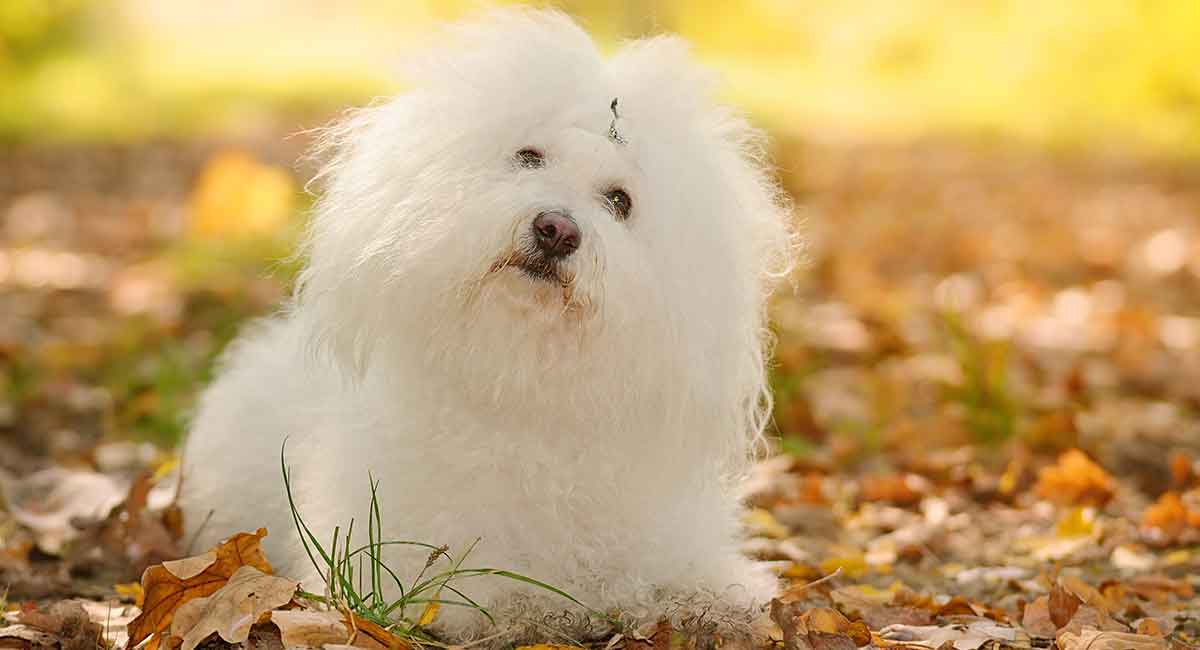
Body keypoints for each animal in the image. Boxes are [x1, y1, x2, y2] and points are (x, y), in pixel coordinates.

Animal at [180, 7, 796, 642]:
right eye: (528, 157)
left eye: (620, 201)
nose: (557, 229)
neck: (519, 380)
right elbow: (496, 595)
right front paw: (545, 608)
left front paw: (709, 606)